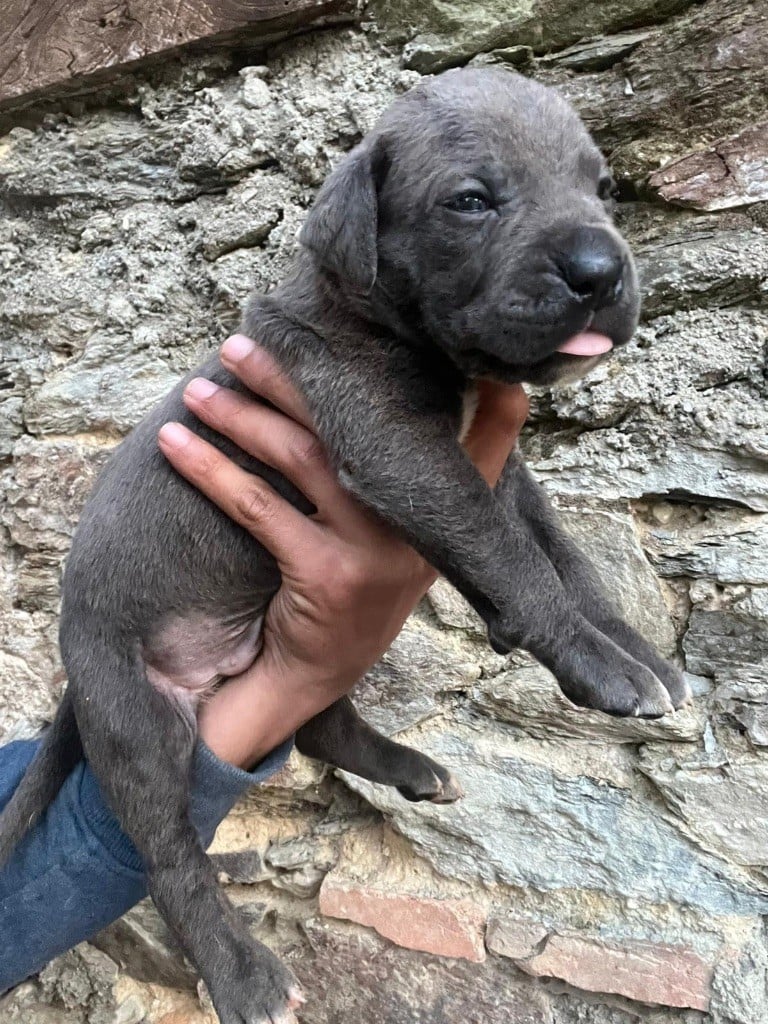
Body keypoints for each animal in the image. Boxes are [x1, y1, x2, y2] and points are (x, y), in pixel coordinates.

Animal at [0, 70, 692, 1024]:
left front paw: (630, 649)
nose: (601, 269)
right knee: (169, 855)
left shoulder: (495, 465)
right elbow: (511, 557)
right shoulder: (404, 452)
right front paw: (603, 666)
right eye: (471, 201)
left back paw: (409, 768)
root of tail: (75, 666)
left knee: (321, 721)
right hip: (136, 718)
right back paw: (242, 974)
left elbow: (561, 553)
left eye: (605, 188)